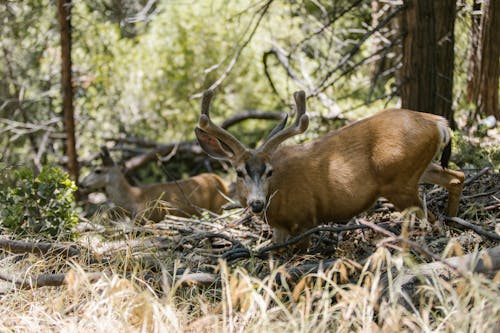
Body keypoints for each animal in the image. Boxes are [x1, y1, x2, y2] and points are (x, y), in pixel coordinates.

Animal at [81, 147, 229, 222]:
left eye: (98, 170)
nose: (82, 183)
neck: (133, 199)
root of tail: (221, 181)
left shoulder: (146, 218)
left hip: (218, 207)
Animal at [194, 90, 464, 244]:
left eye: (270, 171)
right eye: (239, 172)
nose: (257, 204)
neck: (278, 196)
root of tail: (438, 122)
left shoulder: (305, 219)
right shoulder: (280, 229)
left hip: (399, 181)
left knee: (431, 219)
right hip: (419, 169)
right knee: (457, 177)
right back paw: (454, 219)